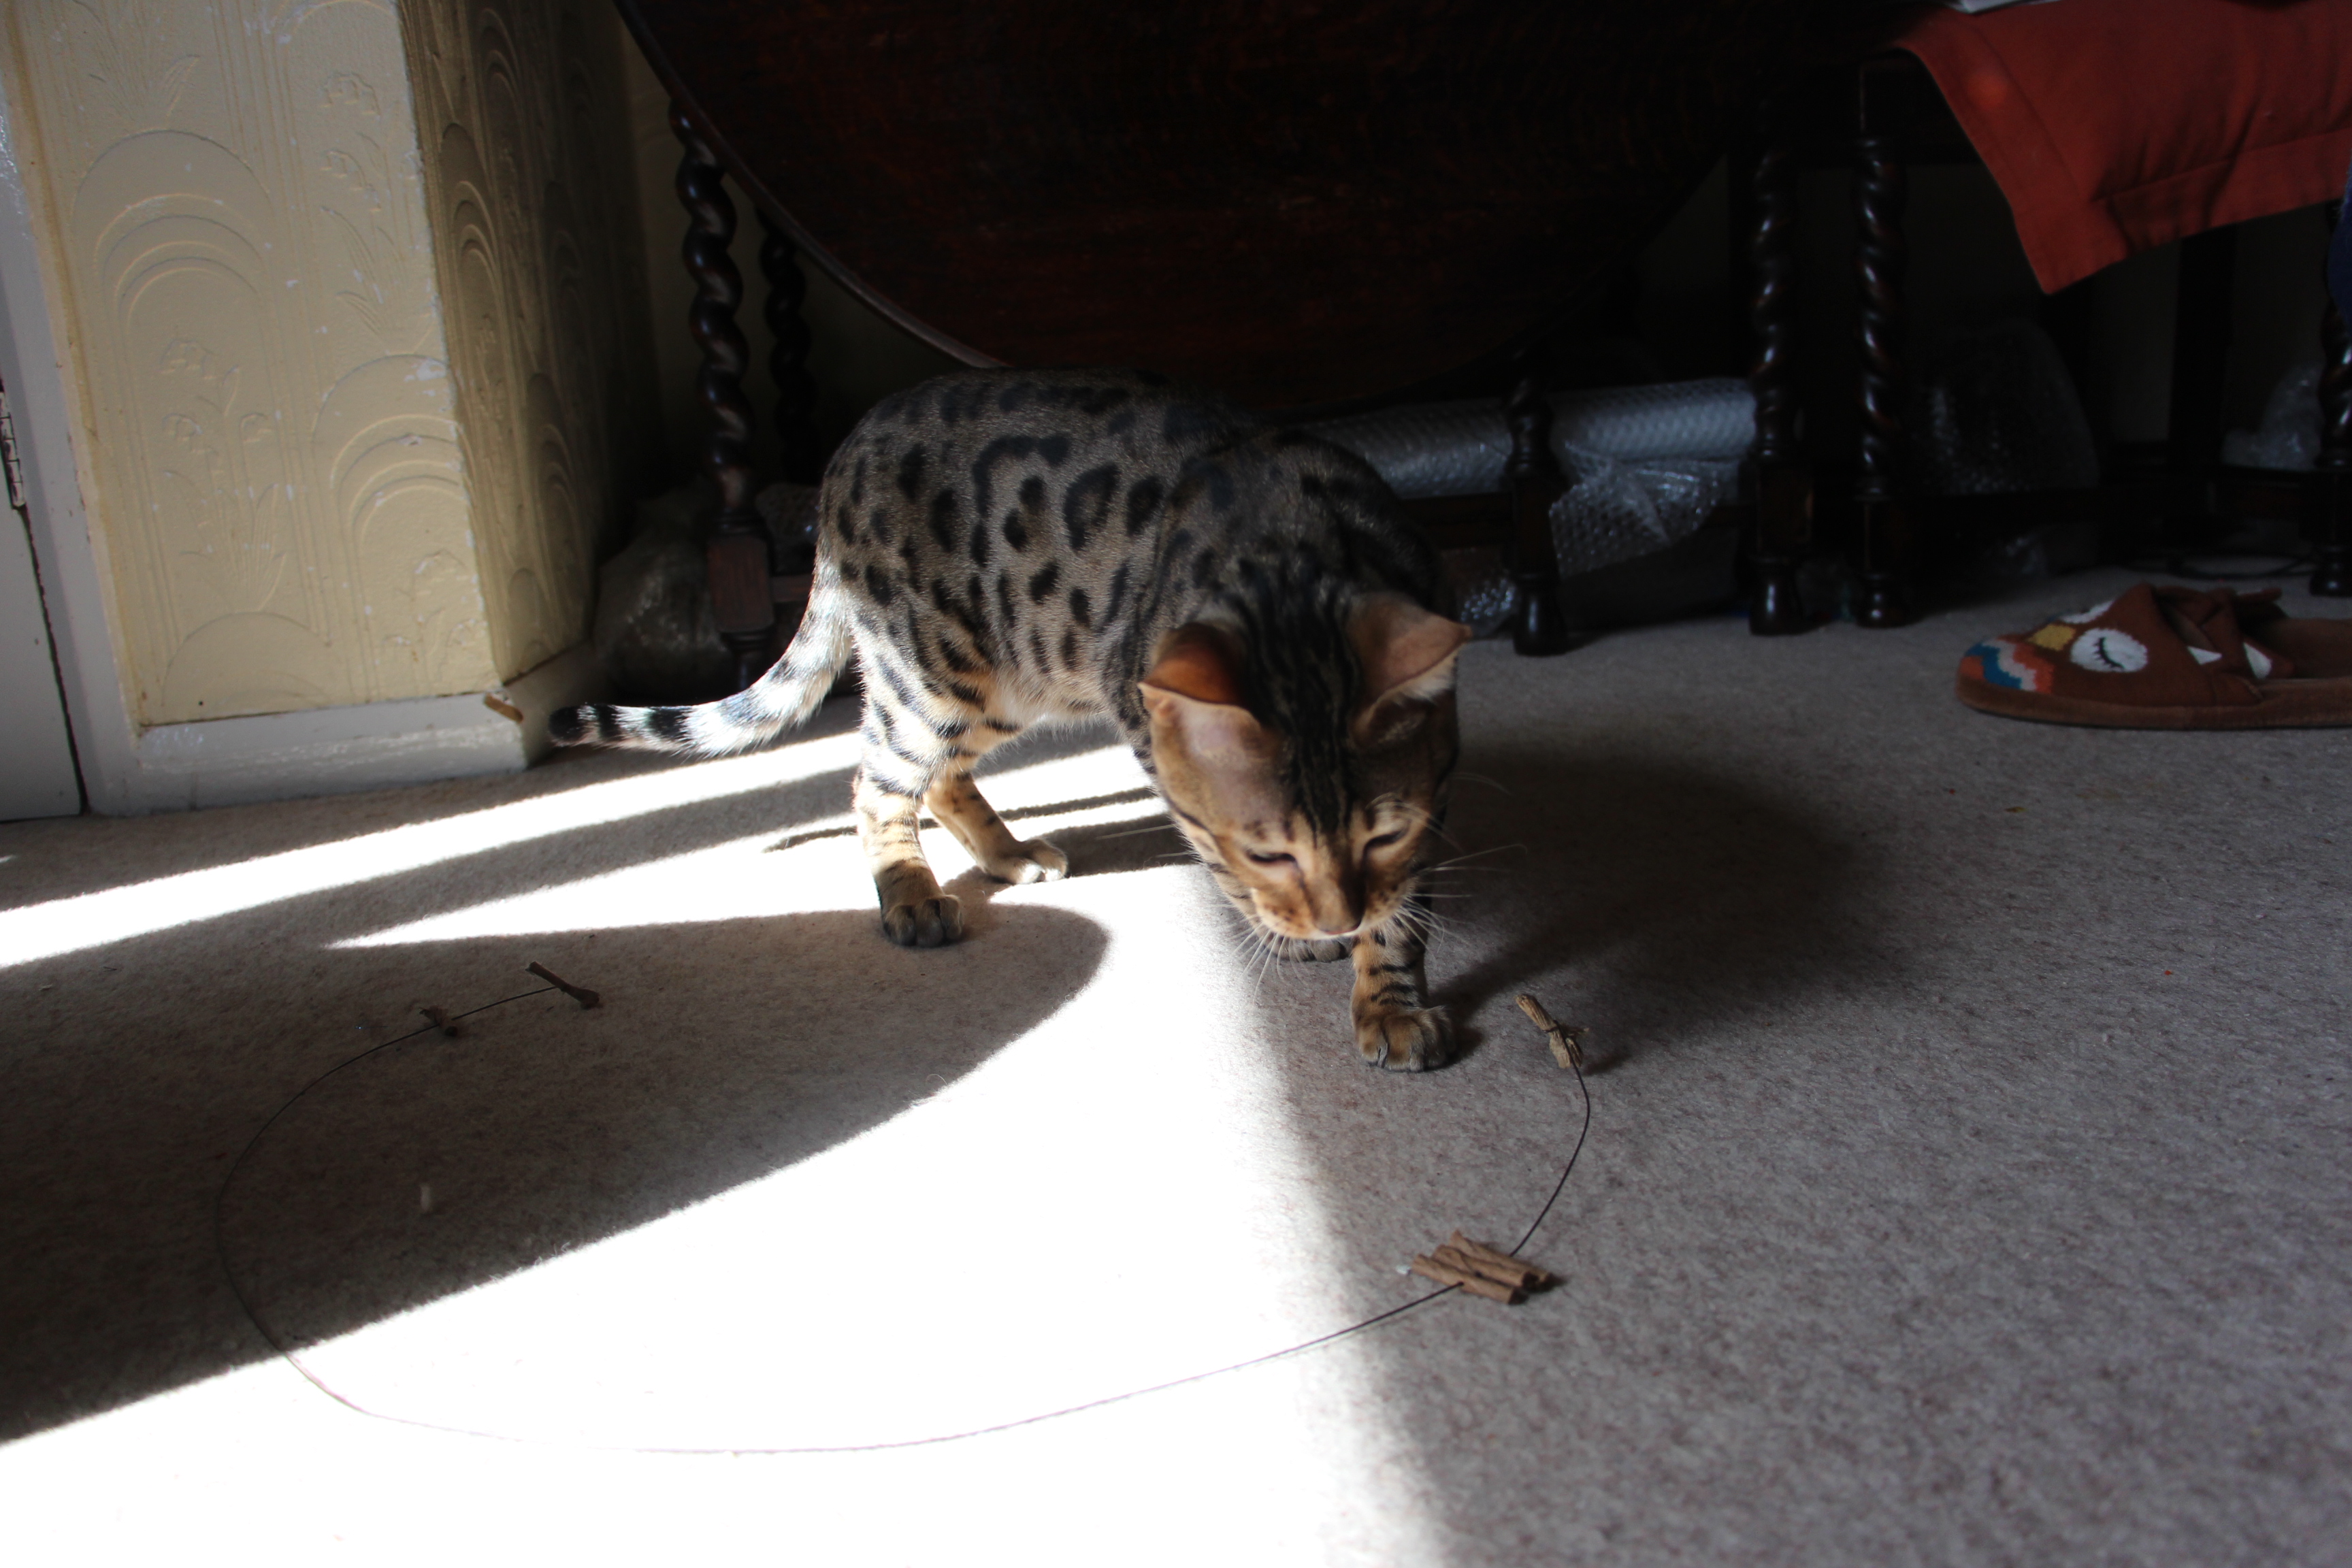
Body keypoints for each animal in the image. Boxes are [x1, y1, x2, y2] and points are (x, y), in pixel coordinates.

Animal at [551, 368, 1470, 1070]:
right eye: (1268, 850)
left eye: (1382, 836)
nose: (1338, 917)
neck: (1295, 552)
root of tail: (842, 456)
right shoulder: (1147, 724)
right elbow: (1222, 863)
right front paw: (1293, 934)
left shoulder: (1429, 792)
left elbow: (1403, 908)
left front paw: (1386, 993)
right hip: (935, 677)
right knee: (875, 784)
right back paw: (911, 896)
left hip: (1006, 682)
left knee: (941, 780)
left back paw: (1009, 854)